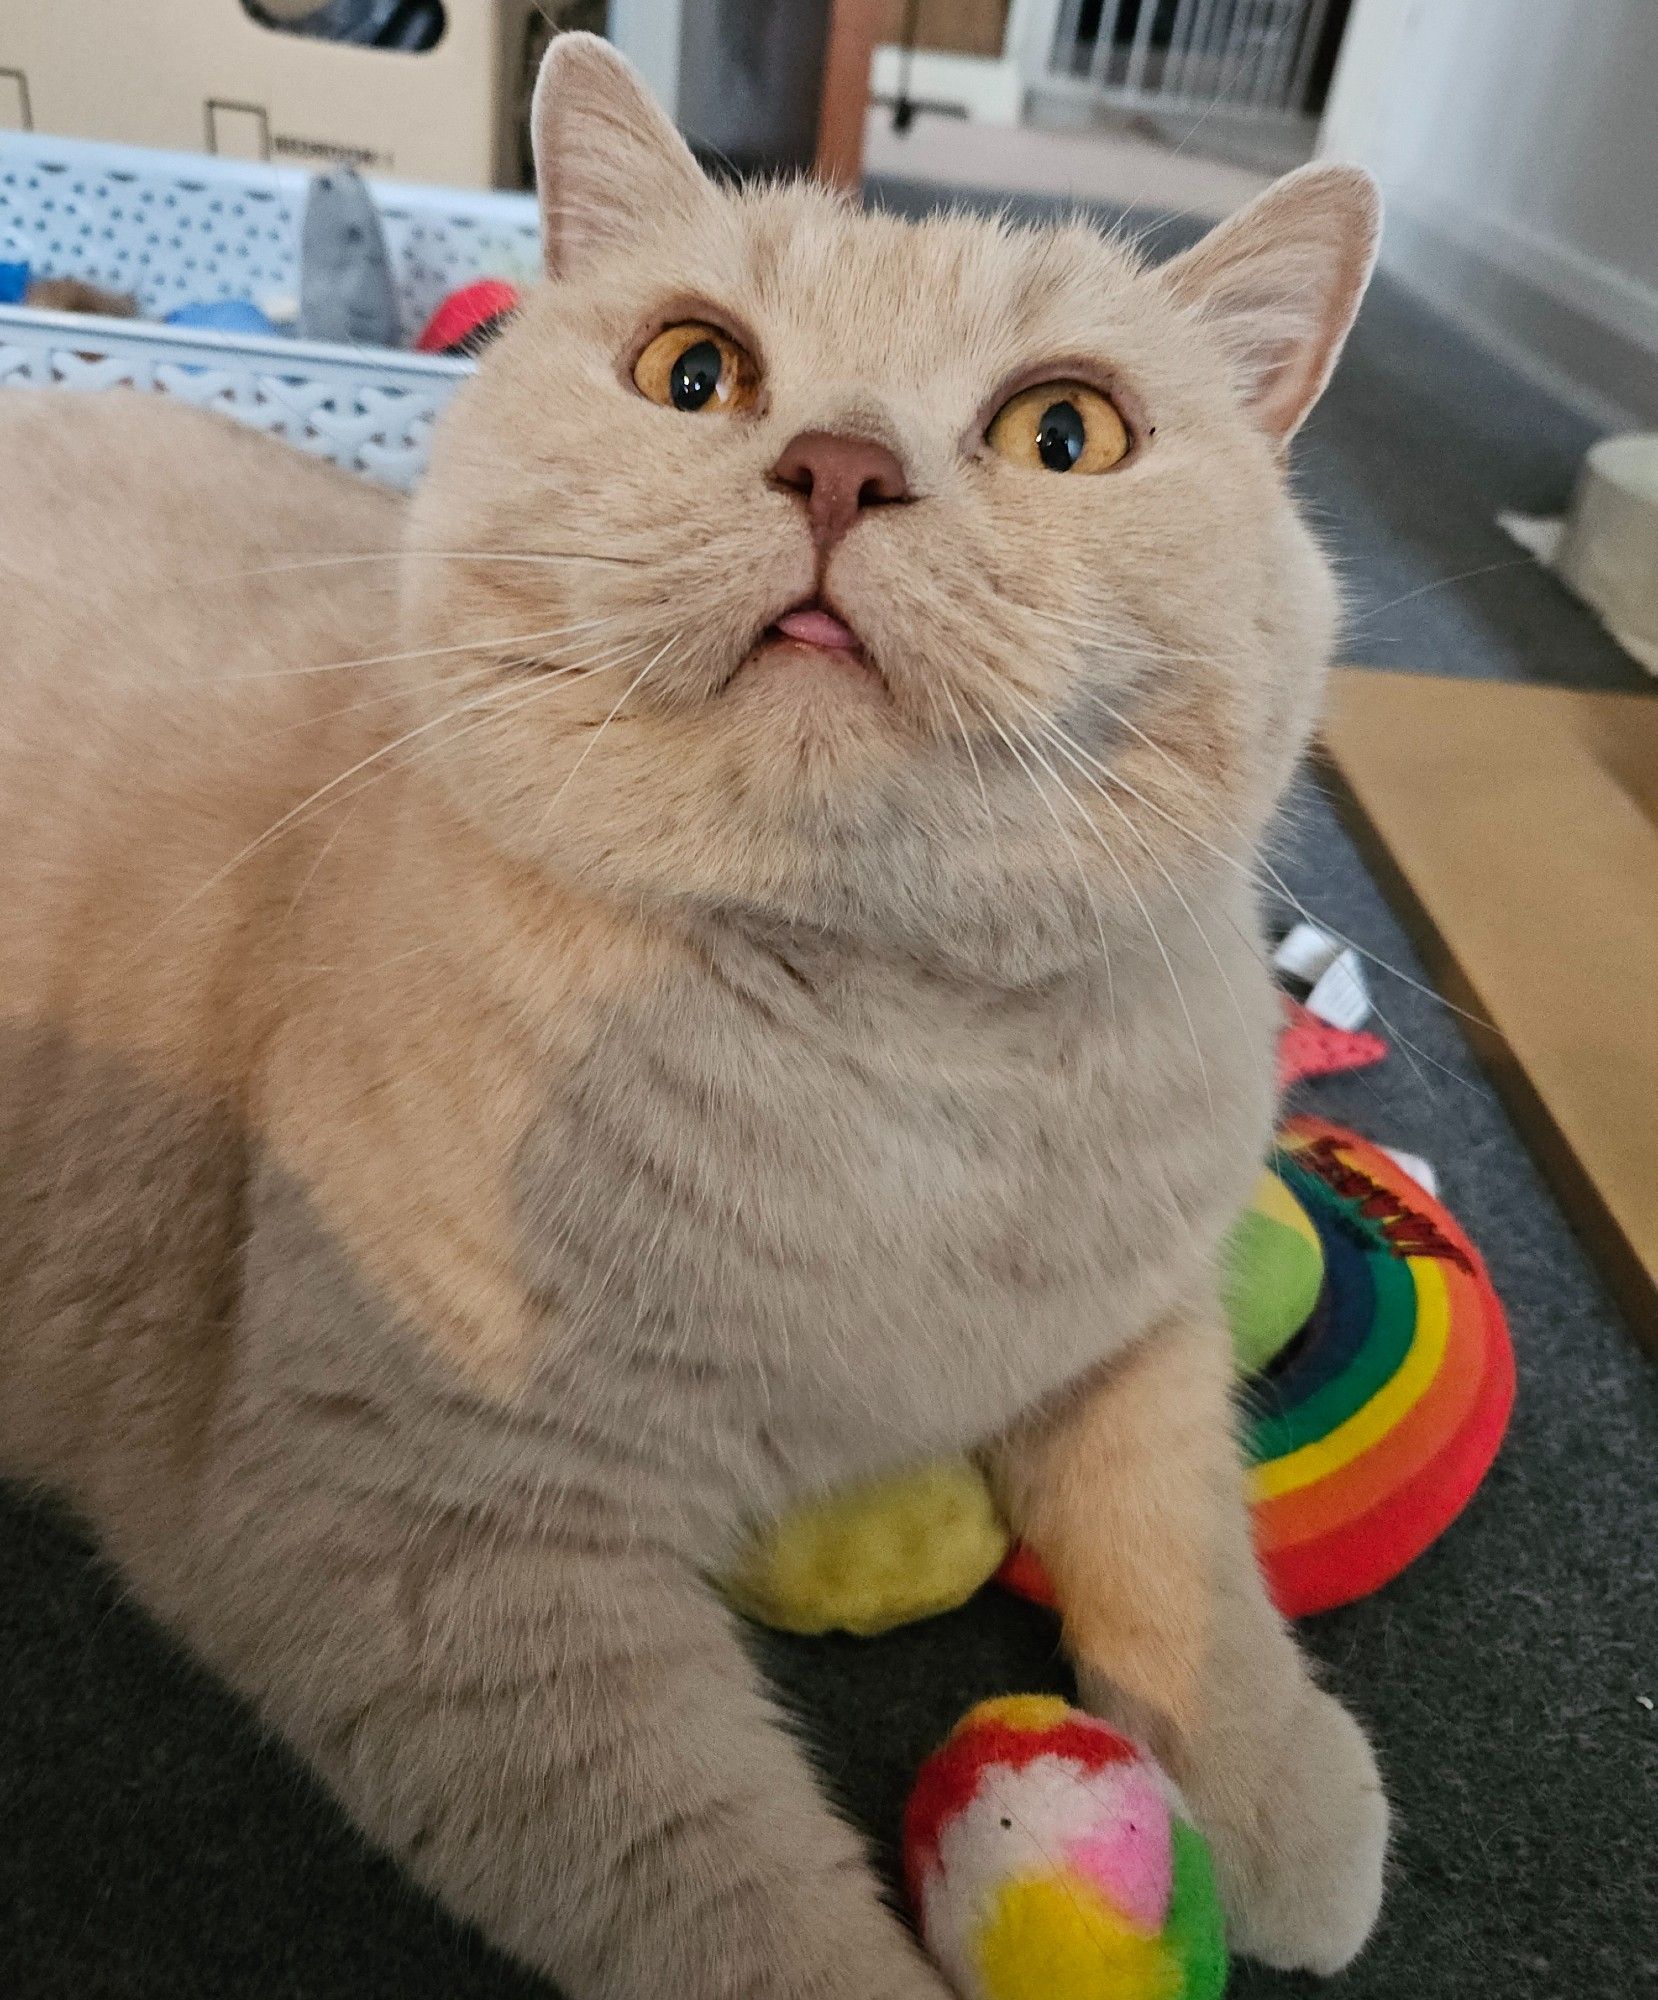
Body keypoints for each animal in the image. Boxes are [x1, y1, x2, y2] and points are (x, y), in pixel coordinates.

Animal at [0, 31, 1384, 2000]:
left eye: (1064, 431)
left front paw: (1268, 1782)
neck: (894, 1071)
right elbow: (739, 1909)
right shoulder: (427, 1550)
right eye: (694, 371)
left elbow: (1176, 1525)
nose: (839, 466)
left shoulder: (1139, 1317)